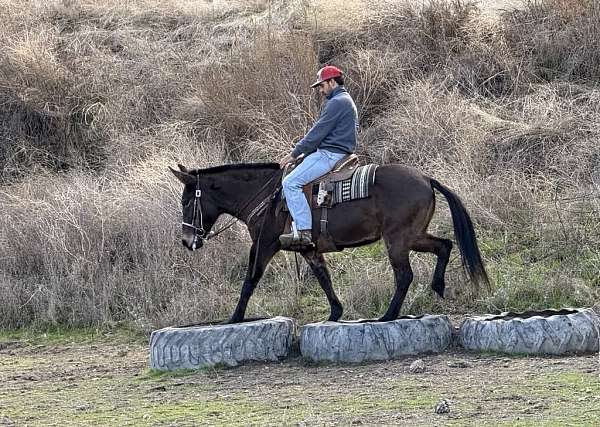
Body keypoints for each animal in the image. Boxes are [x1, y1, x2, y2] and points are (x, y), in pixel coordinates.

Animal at [169, 162, 488, 322]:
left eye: (186, 201)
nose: (187, 240)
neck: (267, 196)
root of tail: (424, 178)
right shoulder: (309, 250)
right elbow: (324, 279)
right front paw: (336, 313)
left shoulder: (263, 246)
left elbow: (250, 281)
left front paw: (234, 318)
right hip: (412, 236)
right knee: (444, 246)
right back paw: (437, 286)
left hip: (397, 239)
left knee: (405, 275)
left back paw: (388, 315)